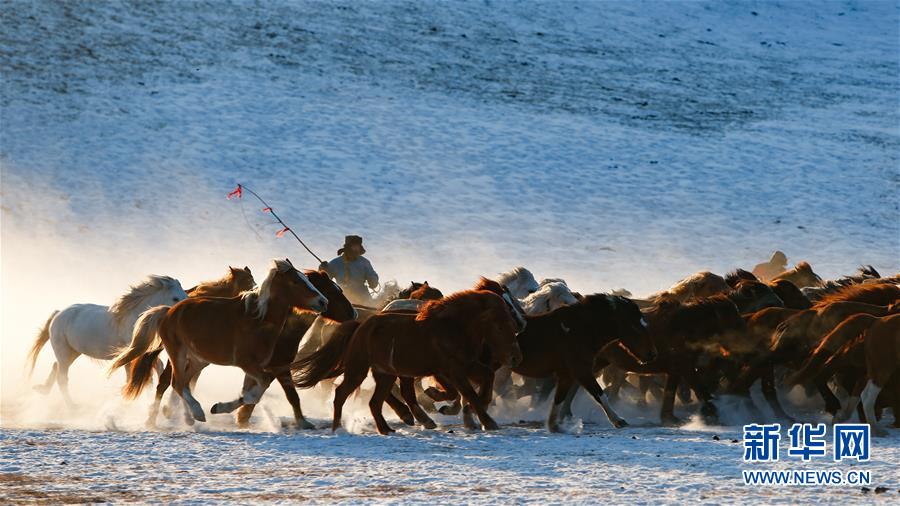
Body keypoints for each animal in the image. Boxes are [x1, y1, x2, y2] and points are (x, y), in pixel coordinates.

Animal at [26, 274, 188, 406]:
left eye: (185, 294)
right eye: (175, 298)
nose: (183, 314)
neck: (135, 319)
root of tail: (58, 314)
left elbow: (149, 370)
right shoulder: (135, 353)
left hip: (72, 353)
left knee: (56, 367)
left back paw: (43, 390)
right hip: (64, 353)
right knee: (62, 378)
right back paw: (73, 407)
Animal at [109, 258, 326, 424]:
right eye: (296, 282)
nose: (323, 301)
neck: (258, 320)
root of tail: (168, 311)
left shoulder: (257, 367)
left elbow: (253, 392)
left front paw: (224, 408)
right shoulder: (246, 363)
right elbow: (256, 390)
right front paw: (219, 407)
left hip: (199, 360)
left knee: (184, 383)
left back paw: (187, 417)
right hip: (178, 354)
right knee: (176, 383)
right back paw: (196, 414)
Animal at [292, 288, 524, 434]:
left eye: (510, 324)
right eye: (499, 325)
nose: (515, 357)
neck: (453, 328)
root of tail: (361, 325)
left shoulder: (468, 366)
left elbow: (485, 381)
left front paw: (475, 415)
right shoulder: (453, 370)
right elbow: (468, 394)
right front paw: (487, 421)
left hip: (385, 374)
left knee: (376, 401)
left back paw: (387, 428)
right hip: (359, 369)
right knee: (342, 393)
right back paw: (338, 428)